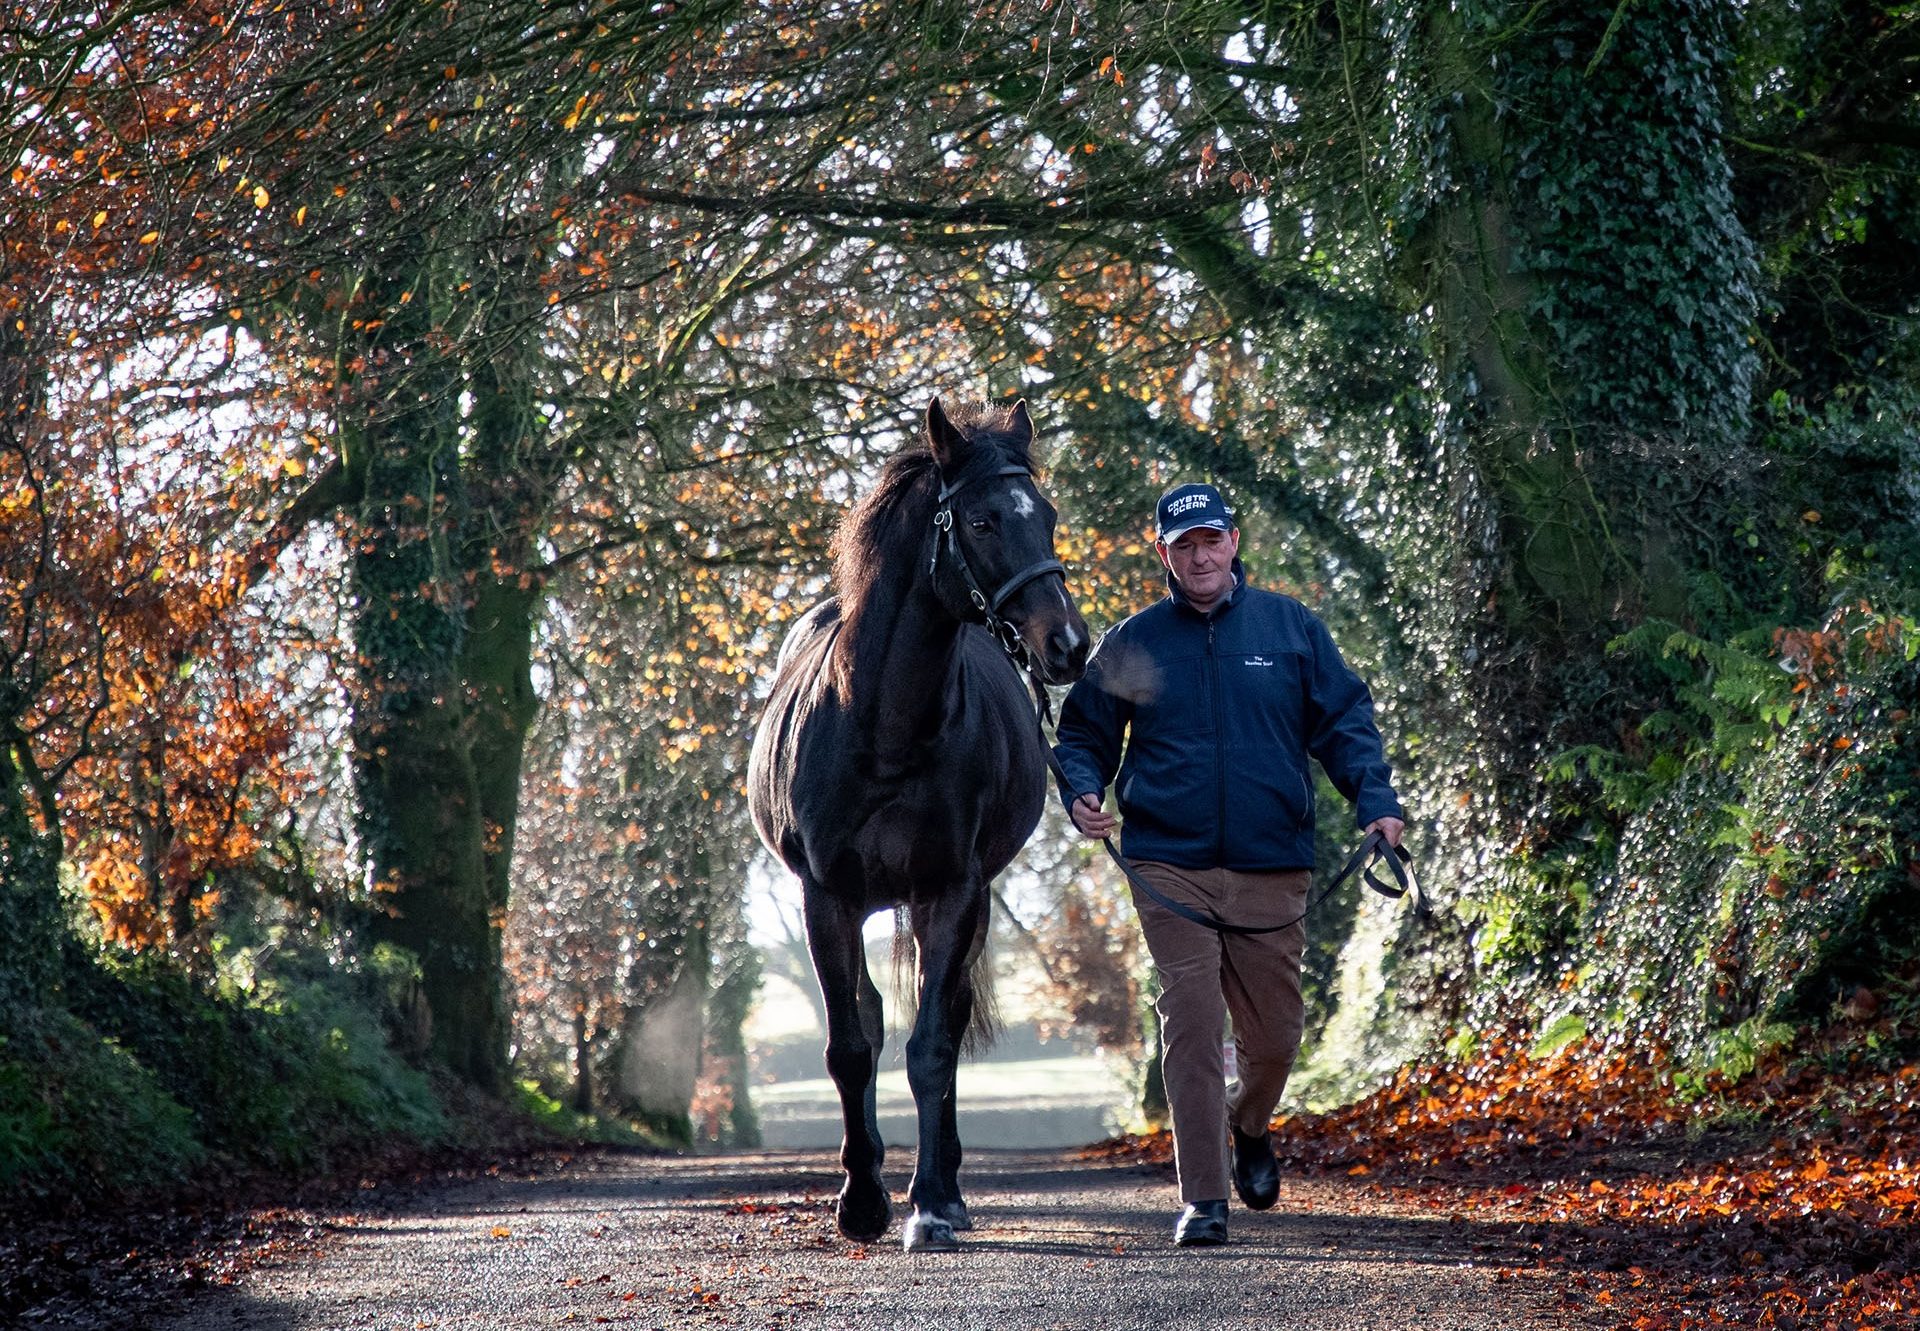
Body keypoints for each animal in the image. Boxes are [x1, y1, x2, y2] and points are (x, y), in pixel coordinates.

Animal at [744, 393, 1090, 1244]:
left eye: (1048, 515)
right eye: (984, 521)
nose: (1068, 644)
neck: (887, 728)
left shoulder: (951, 891)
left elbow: (932, 1044)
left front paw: (930, 1204)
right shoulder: (825, 896)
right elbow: (848, 1045)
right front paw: (861, 1200)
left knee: (951, 1016)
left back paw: (951, 1187)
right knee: (867, 1017)